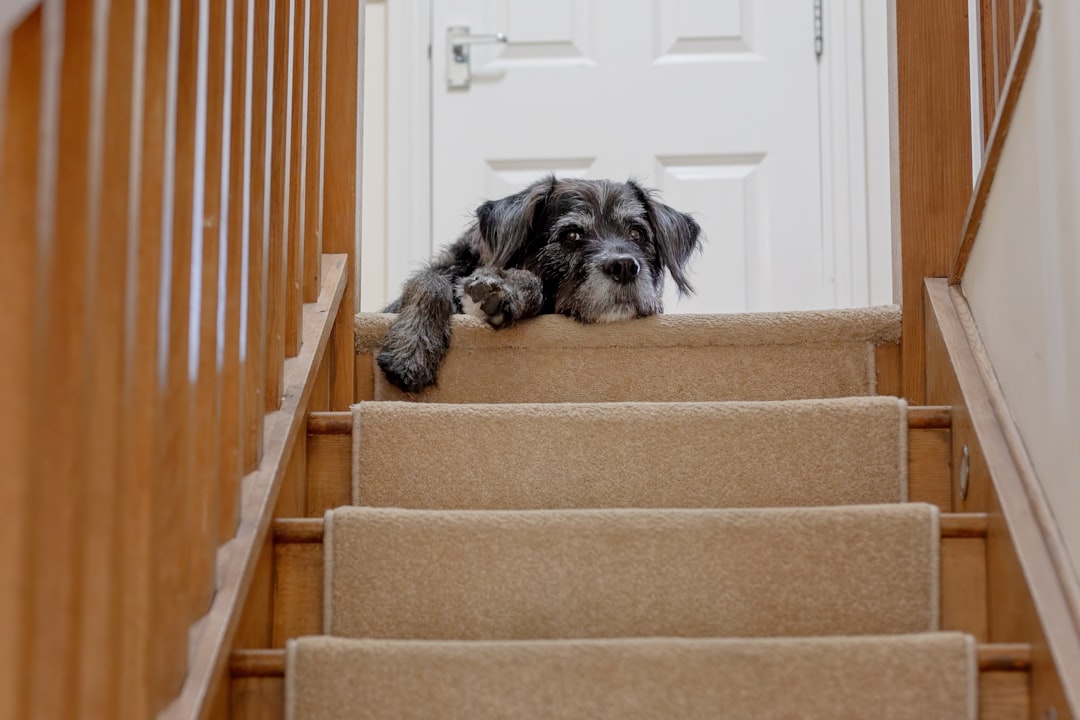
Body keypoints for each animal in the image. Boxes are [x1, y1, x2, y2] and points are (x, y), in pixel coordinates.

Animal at [375, 178, 704, 397]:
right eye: (571, 235)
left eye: (637, 233)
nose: (624, 267)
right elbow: (428, 281)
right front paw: (412, 348)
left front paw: (509, 288)